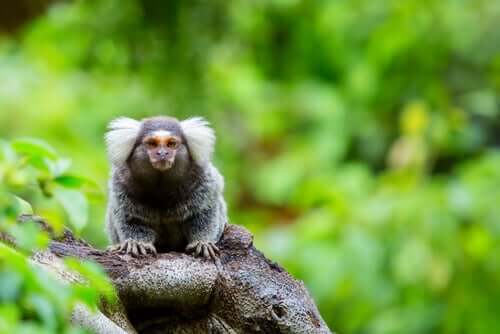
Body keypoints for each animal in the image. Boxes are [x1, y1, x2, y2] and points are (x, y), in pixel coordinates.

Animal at [105, 116, 227, 260]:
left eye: (171, 144)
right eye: (152, 143)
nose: (162, 153)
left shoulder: (204, 181)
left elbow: (204, 213)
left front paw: (202, 242)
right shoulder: (121, 183)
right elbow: (131, 218)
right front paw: (137, 243)